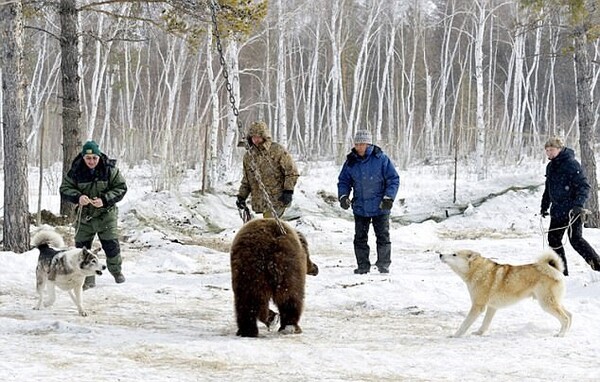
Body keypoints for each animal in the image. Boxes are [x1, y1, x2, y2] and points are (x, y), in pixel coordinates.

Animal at [440, 251, 572, 338]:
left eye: (454, 254)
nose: (440, 254)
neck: (478, 271)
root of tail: (555, 270)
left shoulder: (478, 306)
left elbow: (465, 324)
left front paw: (455, 335)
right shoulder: (492, 307)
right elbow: (485, 323)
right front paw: (479, 333)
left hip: (546, 303)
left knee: (565, 318)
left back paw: (560, 334)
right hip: (554, 301)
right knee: (570, 315)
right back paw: (566, 332)